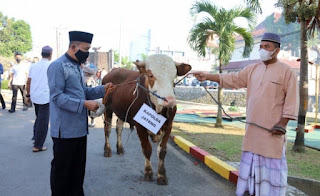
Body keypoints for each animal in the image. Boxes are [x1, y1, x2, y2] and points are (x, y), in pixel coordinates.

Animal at [101, 54, 191, 185]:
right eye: (150, 75)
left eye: (174, 76)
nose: (170, 100)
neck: (158, 109)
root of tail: (113, 70)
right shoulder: (140, 126)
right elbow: (147, 149)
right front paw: (148, 172)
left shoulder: (169, 125)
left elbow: (162, 151)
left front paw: (161, 175)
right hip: (107, 109)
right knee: (107, 129)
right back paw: (107, 150)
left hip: (122, 111)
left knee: (119, 128)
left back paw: (120, 148)